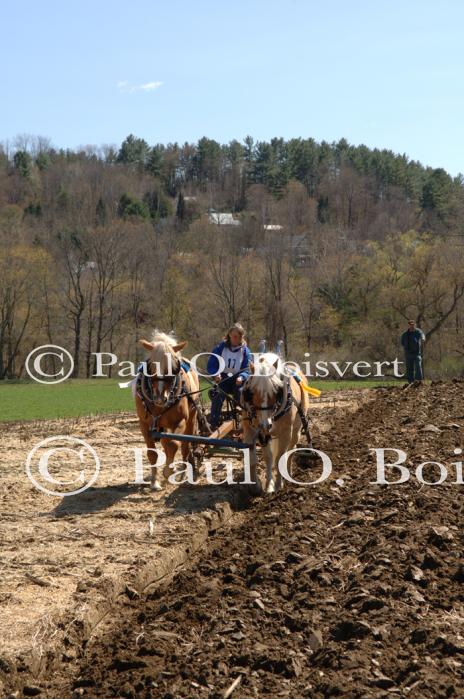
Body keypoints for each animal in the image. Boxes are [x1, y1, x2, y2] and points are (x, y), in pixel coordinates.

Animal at [134, 332, 207, 492]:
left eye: (174, 367)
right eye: (151, 366)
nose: (161, 397)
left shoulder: (180, 421)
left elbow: (174, 444)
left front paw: (168, 471)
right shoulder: (144, 424)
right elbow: (152, 453)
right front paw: (155, 482)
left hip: (191, 420)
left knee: (185, 446)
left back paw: (184, 474)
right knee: (166, 442)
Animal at [241, 352, 310, 494]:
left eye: (276, 390)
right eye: (251, 391)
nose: (265, 424)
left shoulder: (285, 433)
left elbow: (279, 458)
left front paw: (278, 485)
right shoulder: (252, 431)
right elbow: (261, 458)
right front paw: (262, 486)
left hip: (296, 429)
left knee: (291, 449)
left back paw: (288, 474)